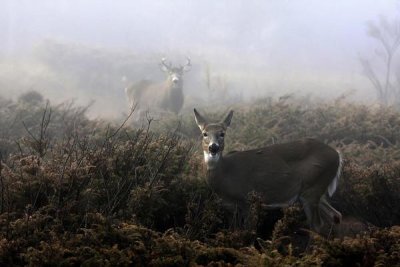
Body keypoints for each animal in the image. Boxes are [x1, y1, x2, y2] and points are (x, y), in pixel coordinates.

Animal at [192, 108, 342, 234]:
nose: (213, 147)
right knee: (336, 215)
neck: (226, 174)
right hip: (316, 191)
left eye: (222, 133)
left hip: (313, 188)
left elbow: (248, 231)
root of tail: (338, 155)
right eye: (204, 134)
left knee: (317, 225)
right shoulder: (233, 208)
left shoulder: (248, 200)